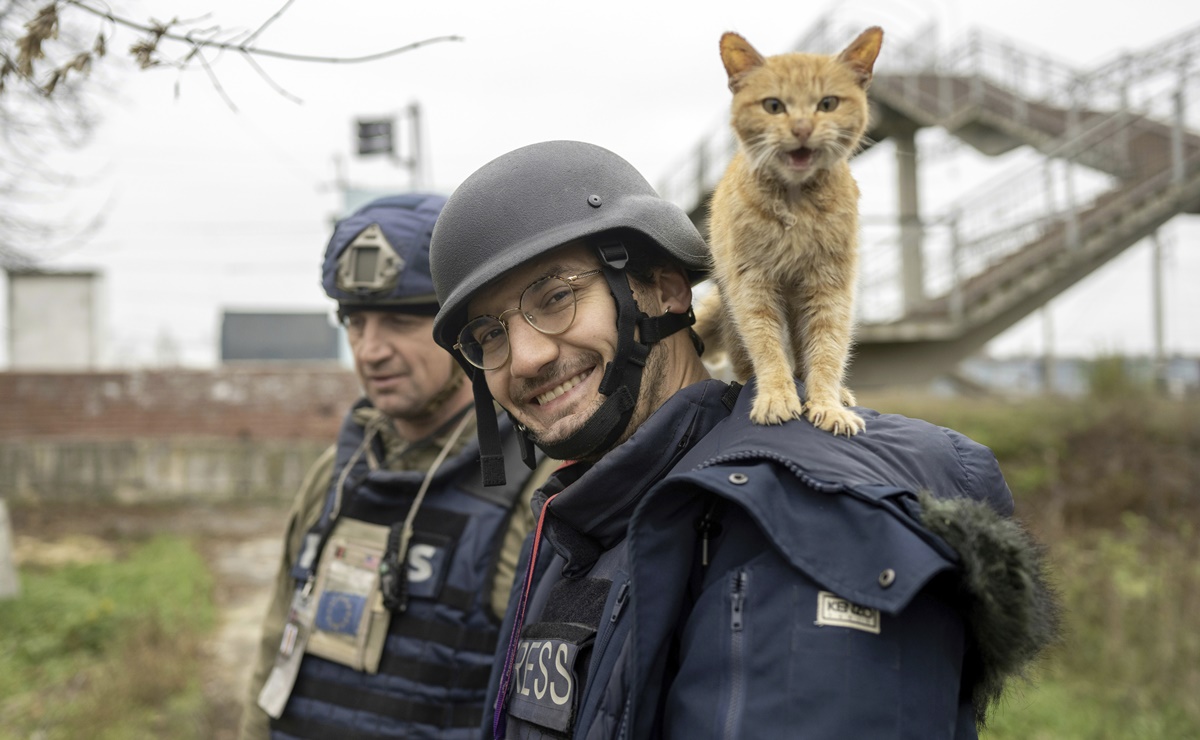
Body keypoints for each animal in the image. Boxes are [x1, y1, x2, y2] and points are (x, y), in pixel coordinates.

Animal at [700, 27, 888, 431]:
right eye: (774, 106)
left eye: (827, 104)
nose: (802, 128)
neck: (796, 206)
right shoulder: (752, 286)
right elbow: (767, 347)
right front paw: (775, 397)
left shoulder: (830, 287)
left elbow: (828, 350)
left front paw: (828, 405)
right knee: (745, 362)